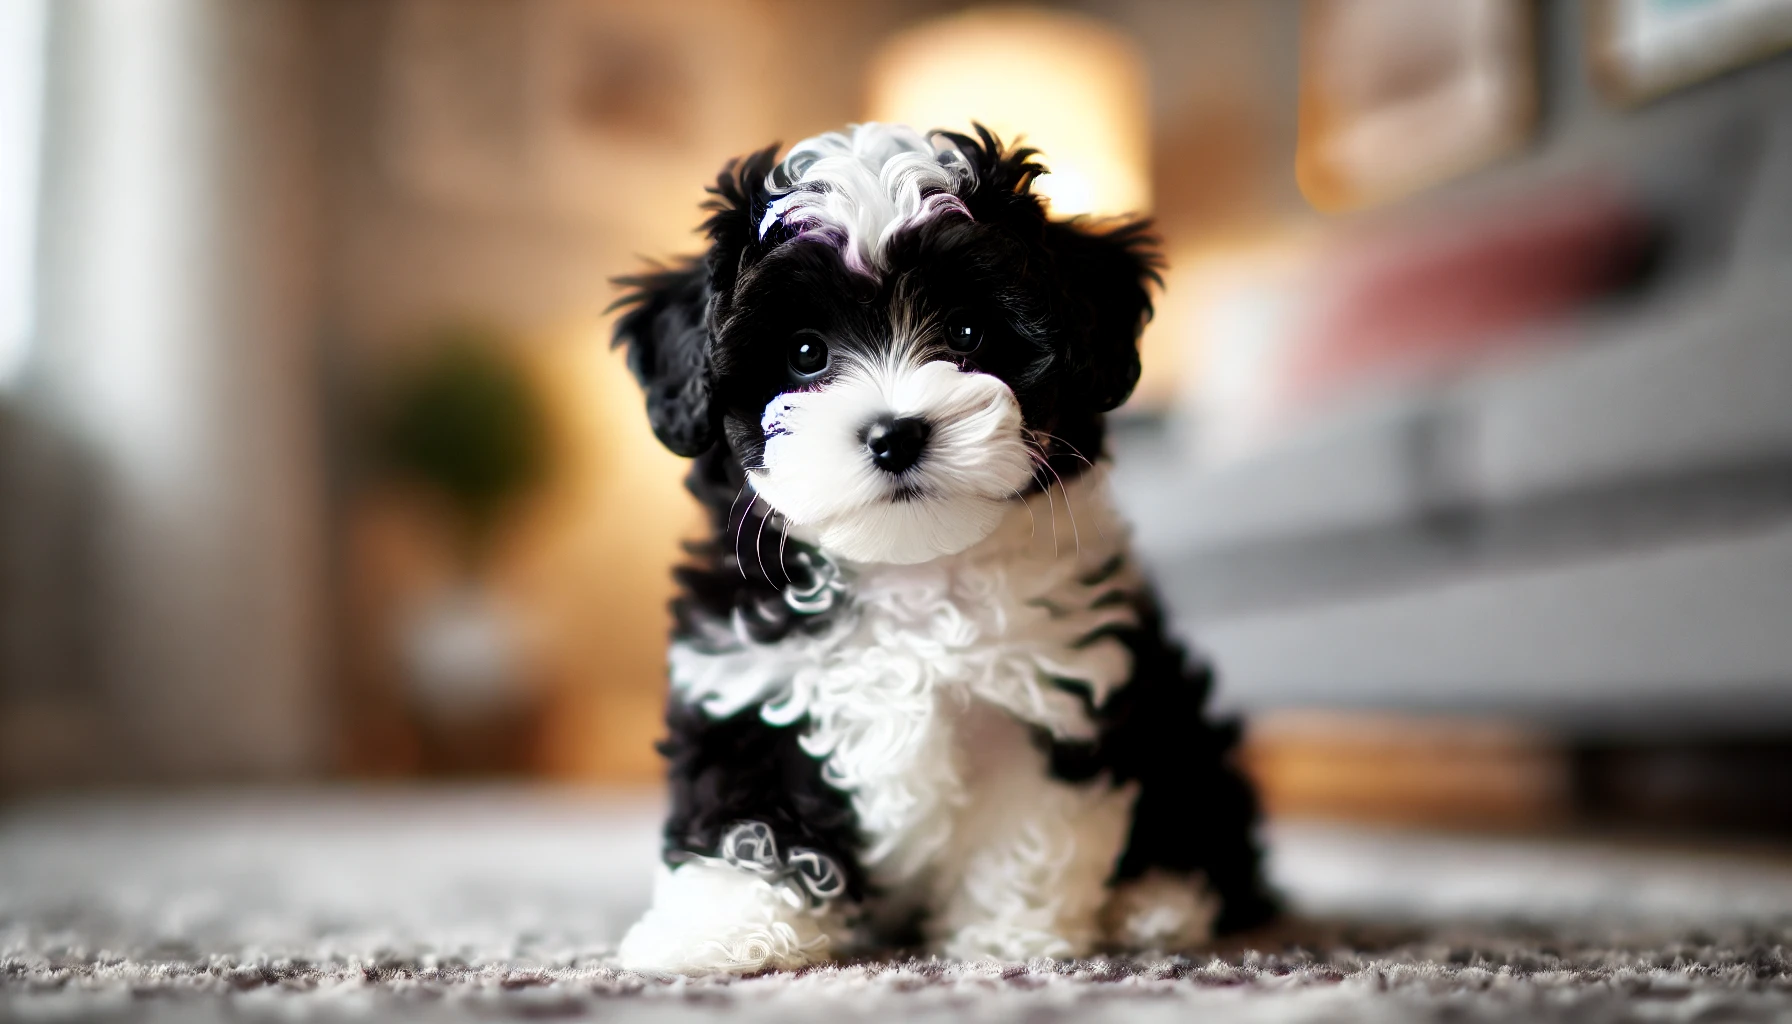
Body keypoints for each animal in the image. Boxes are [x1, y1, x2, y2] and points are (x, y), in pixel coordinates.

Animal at [616, 124, 1275, 975]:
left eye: (967, 333)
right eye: (804, 353)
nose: (895, 434)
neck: (910, 570)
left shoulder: (1051, 697)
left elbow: (1026, 828)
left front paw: (1005, 937)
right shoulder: (745, 684)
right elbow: (746, 817)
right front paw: (726, 930)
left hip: (1180, 728)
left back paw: (1154, 906)